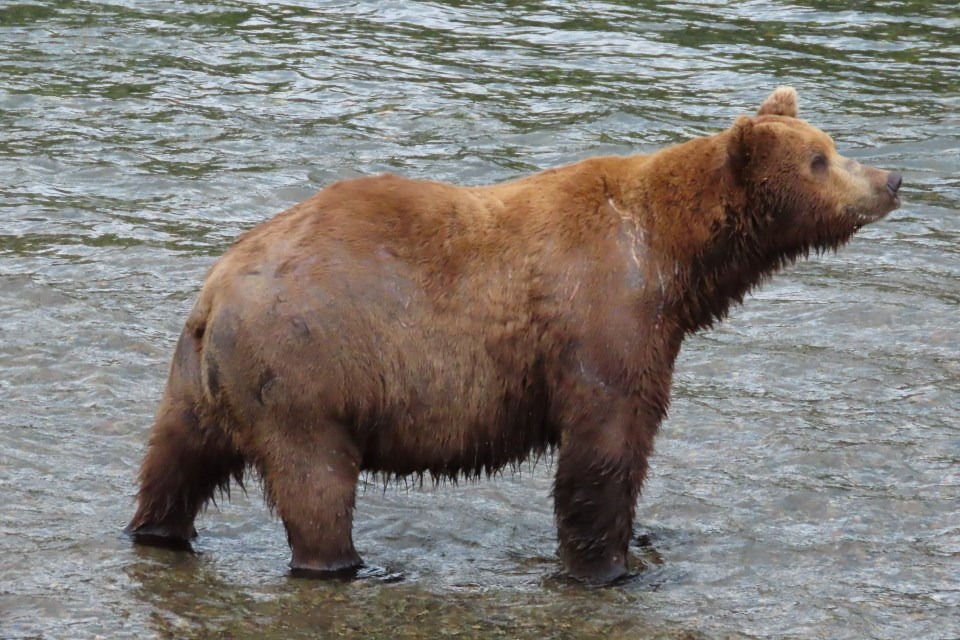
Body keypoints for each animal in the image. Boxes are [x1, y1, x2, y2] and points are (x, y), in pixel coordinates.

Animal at [125, 87, 900, 584]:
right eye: (820, 160)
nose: (891, 176)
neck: (673, 260)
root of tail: (218, 289)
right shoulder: (600, 315)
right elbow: (604, 447)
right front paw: (606, 567)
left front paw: (641, 539)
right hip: (305, 376)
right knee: (315, 487)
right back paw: (348, 566)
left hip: (200, 378)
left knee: (174, 460)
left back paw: (156, 531)